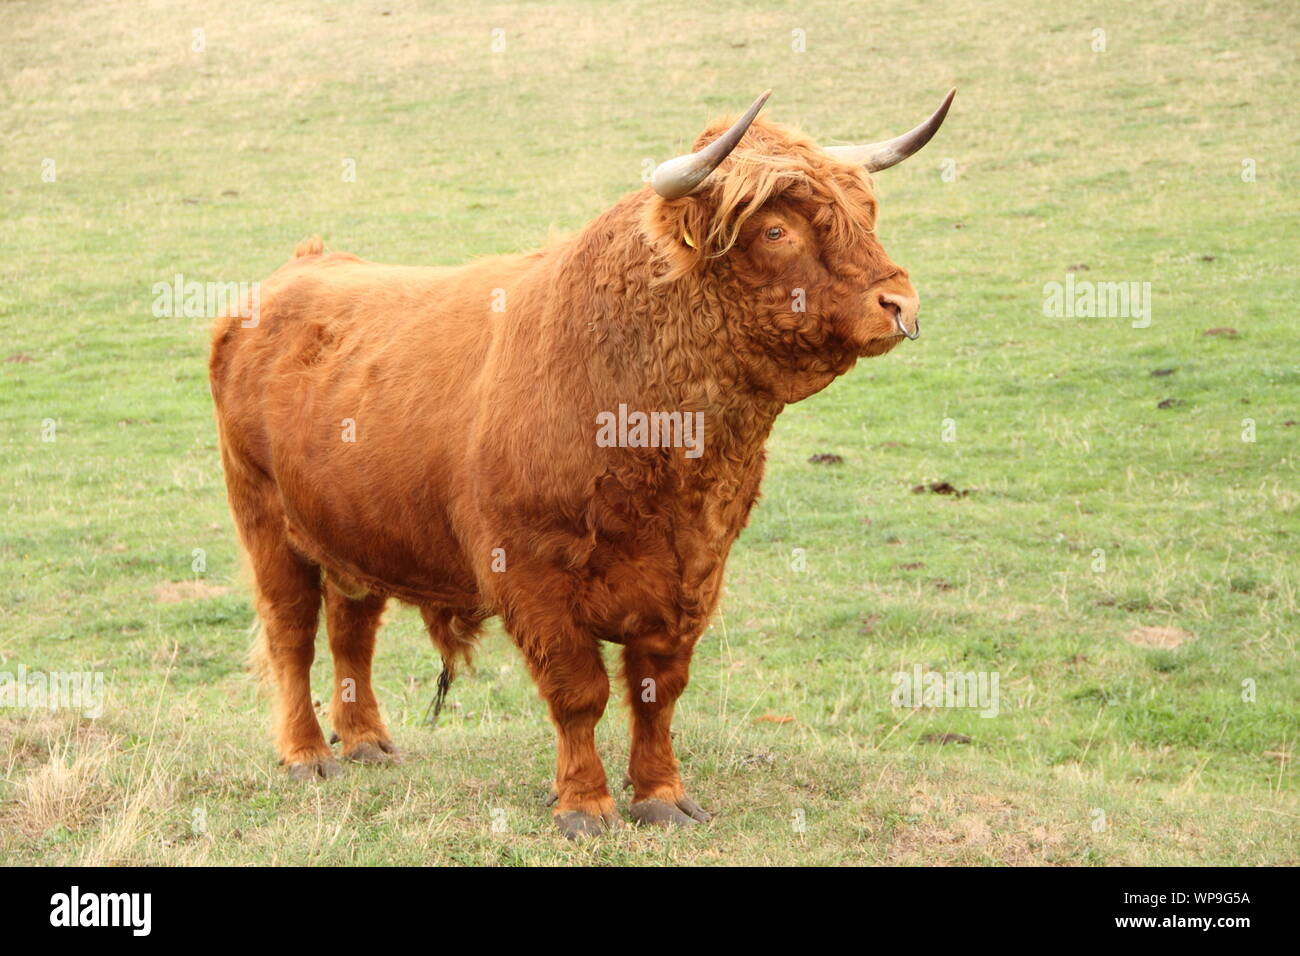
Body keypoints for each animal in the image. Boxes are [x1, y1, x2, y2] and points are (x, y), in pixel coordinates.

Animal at [209, 89, 955, 839]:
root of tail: (297, 270)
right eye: (776, 231)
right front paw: (585, 804)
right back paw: (307, 754)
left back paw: (367, 741)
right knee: (293, 633)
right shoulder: (532, 573)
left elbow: (658, 691)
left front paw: (661, 795)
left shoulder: (696, 572)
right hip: (265, 520)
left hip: (353, 530)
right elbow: (579, 691)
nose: (901, 303)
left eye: (863, 213)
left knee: (351, 629)